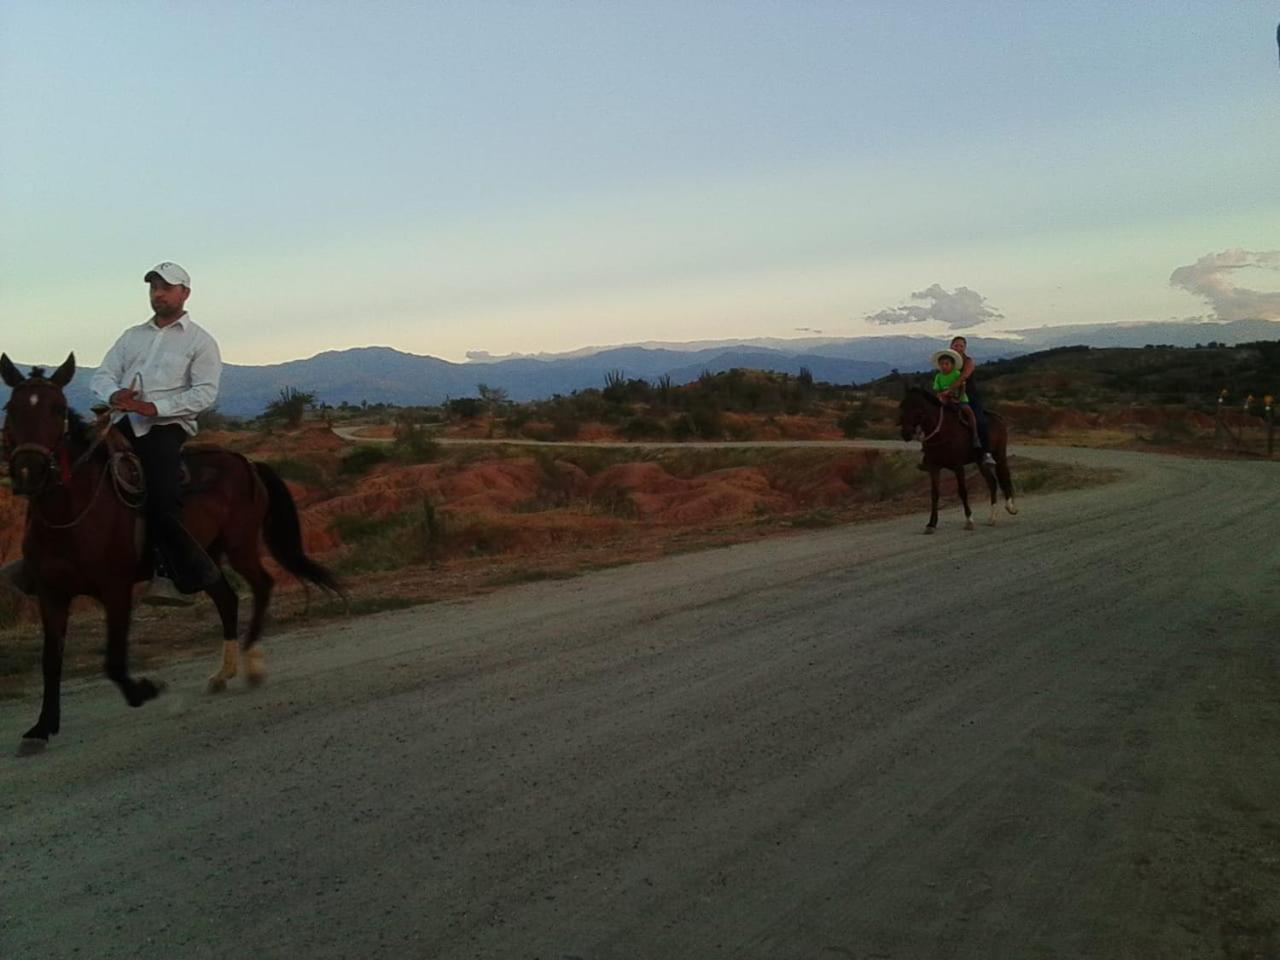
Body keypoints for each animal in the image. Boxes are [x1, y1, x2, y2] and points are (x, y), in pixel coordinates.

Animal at [0, 355, 343, 752]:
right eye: (11, 409)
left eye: (57, 409)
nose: (29, 472)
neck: (70, 514)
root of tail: (247, 463)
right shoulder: (51, 594)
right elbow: (50, 660)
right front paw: (41, 728)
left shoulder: (116, 589)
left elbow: (114, 659)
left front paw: (145, 690)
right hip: (203, 555)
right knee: (227, 597)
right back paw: (223, 673)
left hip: (238, 546)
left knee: (261, 585)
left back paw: (253, 663)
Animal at [901, 386, 1018, 535]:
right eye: (902, 406)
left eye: (918, 409)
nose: (905, 433)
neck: (942, 432)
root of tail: (998, 418)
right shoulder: (934, 467)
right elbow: (934, 494)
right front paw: (931, 524)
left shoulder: (958, 467)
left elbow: (962, 491)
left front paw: (969, 521)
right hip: (980, 461)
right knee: (992, 483)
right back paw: (992, 517)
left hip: (1000, 454)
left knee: (1004, 475)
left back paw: (1010, 507)